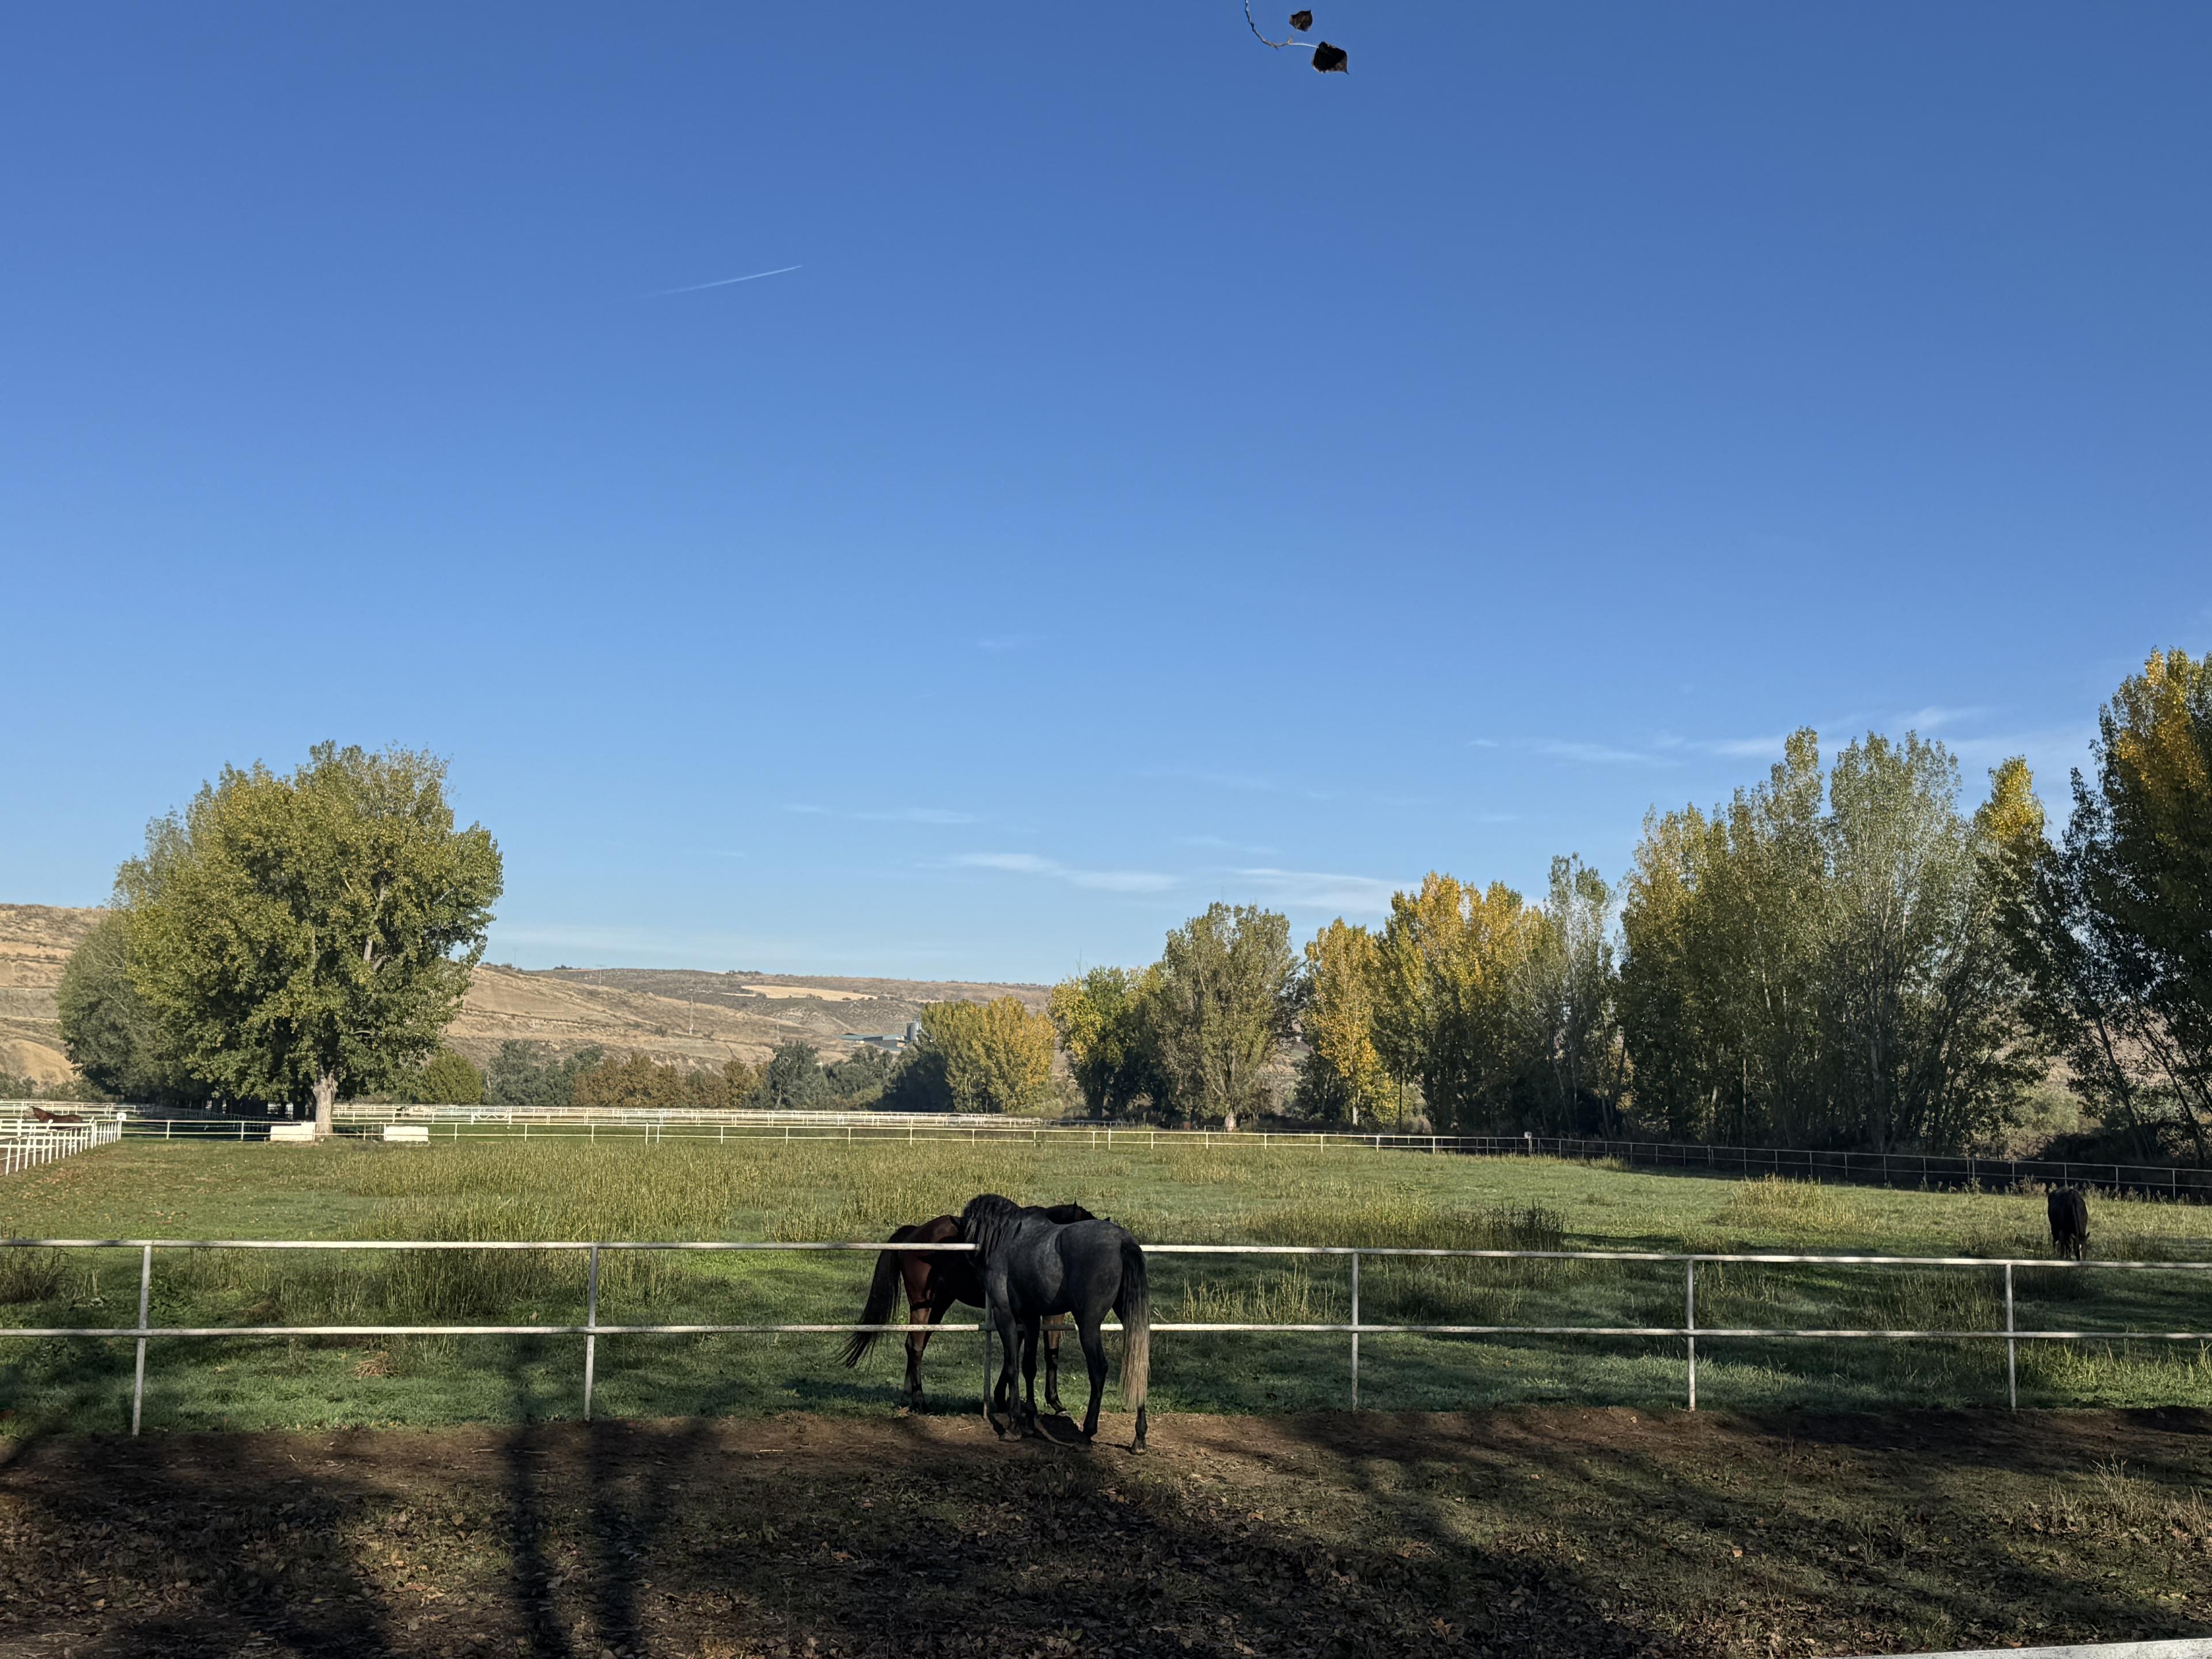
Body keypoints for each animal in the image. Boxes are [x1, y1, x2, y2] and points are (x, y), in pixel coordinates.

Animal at [842, 1204, 1095, 1408]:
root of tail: (914, 1233)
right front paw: (1004, 1398)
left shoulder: (1049, 1315)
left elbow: (1051, 1354)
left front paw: (1053, 1401)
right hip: (922, 1305)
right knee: (915, 1346)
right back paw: (919, 1400)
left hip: (938, 1305)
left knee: (915, 1344)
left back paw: (910, 1394)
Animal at [959, 1192, 1150, 1450]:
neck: (1008, 1237)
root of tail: (1122, 1241)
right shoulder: (1030, 1318)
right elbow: (1029, 1366)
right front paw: (1030, 1421)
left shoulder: (1005, 1314)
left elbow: (1012, 1365)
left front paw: (1014, 1426)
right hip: (1129, 1315)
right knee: (1138, 1364)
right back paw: (1139, 1438)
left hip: (1088, 1323)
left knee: (1098, 1369)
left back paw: (1087, 1434)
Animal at [2048, 1186, 2090, 1260]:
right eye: (2076, 1250)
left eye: (2086, 1249)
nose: (2082, 1261)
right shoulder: (2066, 1231)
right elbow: (2069, 1245)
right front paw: (2069, 1258)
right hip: (2055, 1227)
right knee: (2056, 1240)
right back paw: (2057, 1254)